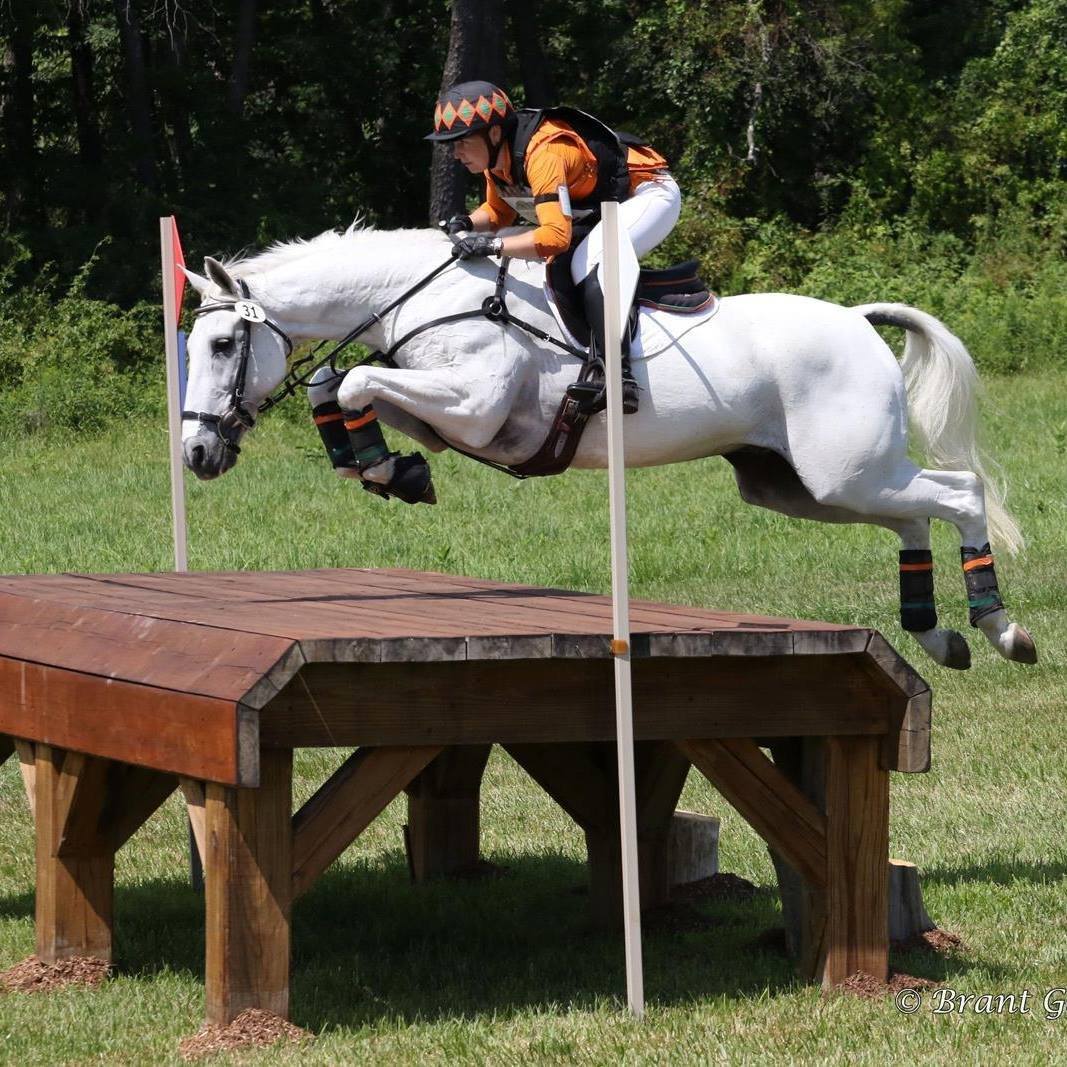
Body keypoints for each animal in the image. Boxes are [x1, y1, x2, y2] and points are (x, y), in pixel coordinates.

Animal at [180, 224, 1037, 670]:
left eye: (222, 344)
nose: (195, 455)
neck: (424, 297)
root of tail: (857, 320)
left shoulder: (477, 405)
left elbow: (355, 380)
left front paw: (389, 469)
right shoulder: (457, 414)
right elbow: (338, 384)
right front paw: (396, 470)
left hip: (842, 473)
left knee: (958, 493)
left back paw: (1001, 628)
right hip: (800, 485)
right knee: (911, 516)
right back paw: (937, 634)